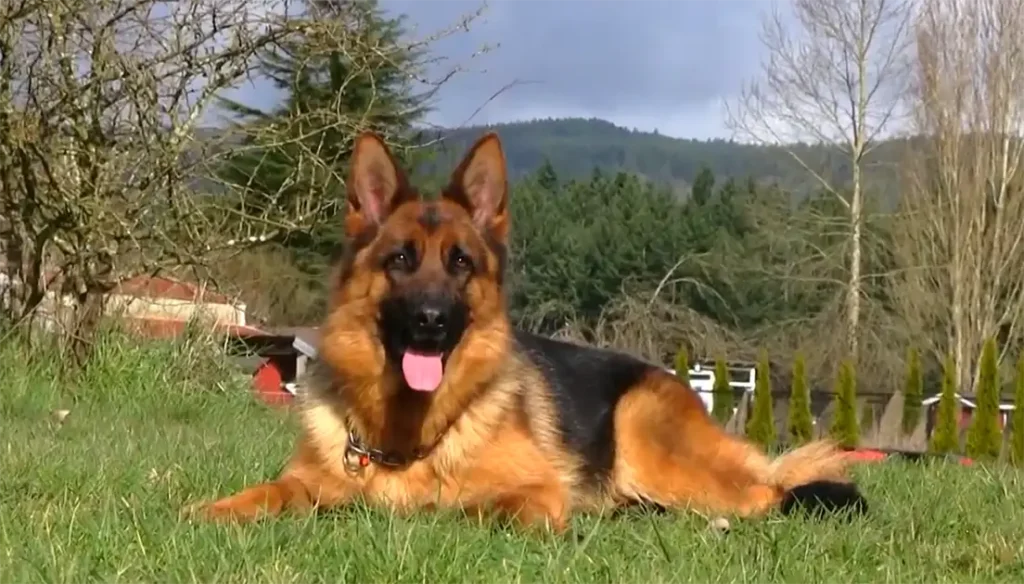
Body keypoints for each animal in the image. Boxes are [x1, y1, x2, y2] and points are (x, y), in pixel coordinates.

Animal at [188, 133, 868, 532]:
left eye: (461, 262)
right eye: (401, 260)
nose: (431, 322)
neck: (409, 431)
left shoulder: (534, 495)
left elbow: (471, 510)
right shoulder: (304, 481)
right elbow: (268, 492)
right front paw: (212, 509)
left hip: (650, 439)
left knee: (764, 497)